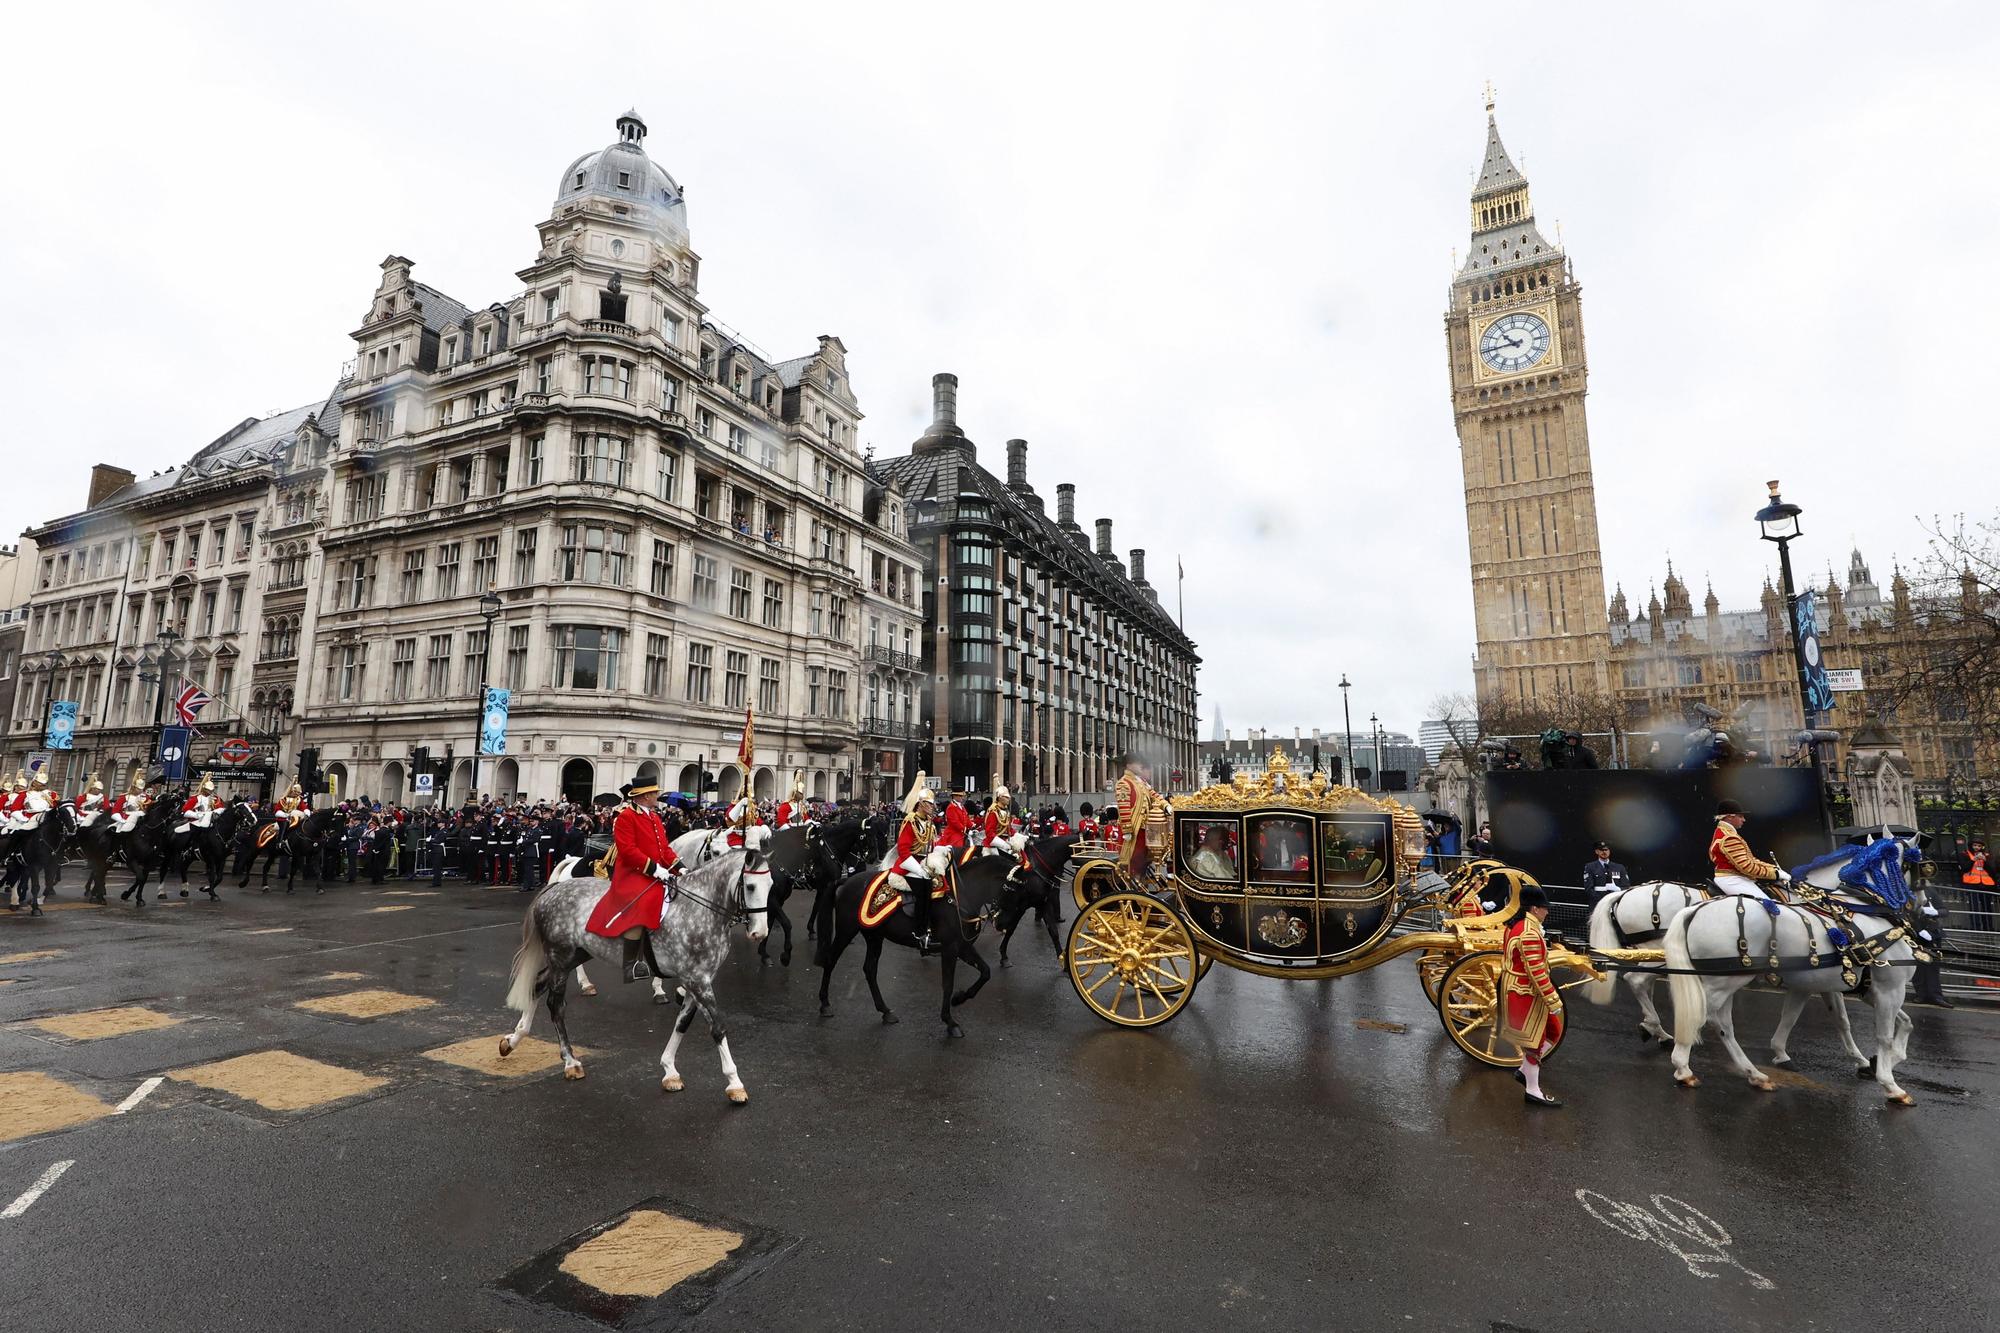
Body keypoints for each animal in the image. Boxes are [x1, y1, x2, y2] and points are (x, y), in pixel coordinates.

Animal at [504, 840, 768, 1096]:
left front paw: (670, 1070)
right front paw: (734, 1083)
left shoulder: (698, 979)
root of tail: (555, 889)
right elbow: (717, 1026)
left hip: (576, 954)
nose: (760, 932)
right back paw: (570, 1061)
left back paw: (513, 1039)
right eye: (751, 886)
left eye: (770, 885)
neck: (700, 910)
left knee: (537, 985)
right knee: (556, 1006)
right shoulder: (697, 980)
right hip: (560, 957)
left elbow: (682, 1023)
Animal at [808, 844, 1000, 1032]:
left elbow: (985, 971)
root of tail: (847, 881)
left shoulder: (962, 946)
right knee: (831, 960)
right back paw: (825, 1004)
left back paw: (885, 1011)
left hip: (874, 936)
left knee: (869, 969)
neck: (959, 896)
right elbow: (948, 983)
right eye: (1007, 886)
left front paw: (959, 999)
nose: (1001, 920)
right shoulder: (950, 947)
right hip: (846, 931)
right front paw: (950, 1022)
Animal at [1664, 832, 1928, 1096]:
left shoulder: (1836, 985)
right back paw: (1682, 1066)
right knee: (1703, 1015)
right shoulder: (1889, 986)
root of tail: (1696, 909)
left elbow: (1890, 1022)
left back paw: (1754, 1074)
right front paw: (1889, 1082)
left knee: (1722, 1024)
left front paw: (1873, 1061)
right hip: (1723, 982)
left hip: (1726, 979)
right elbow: (1883, 1034)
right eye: (1922, 866)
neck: (1862, 907)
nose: (1924, 906)